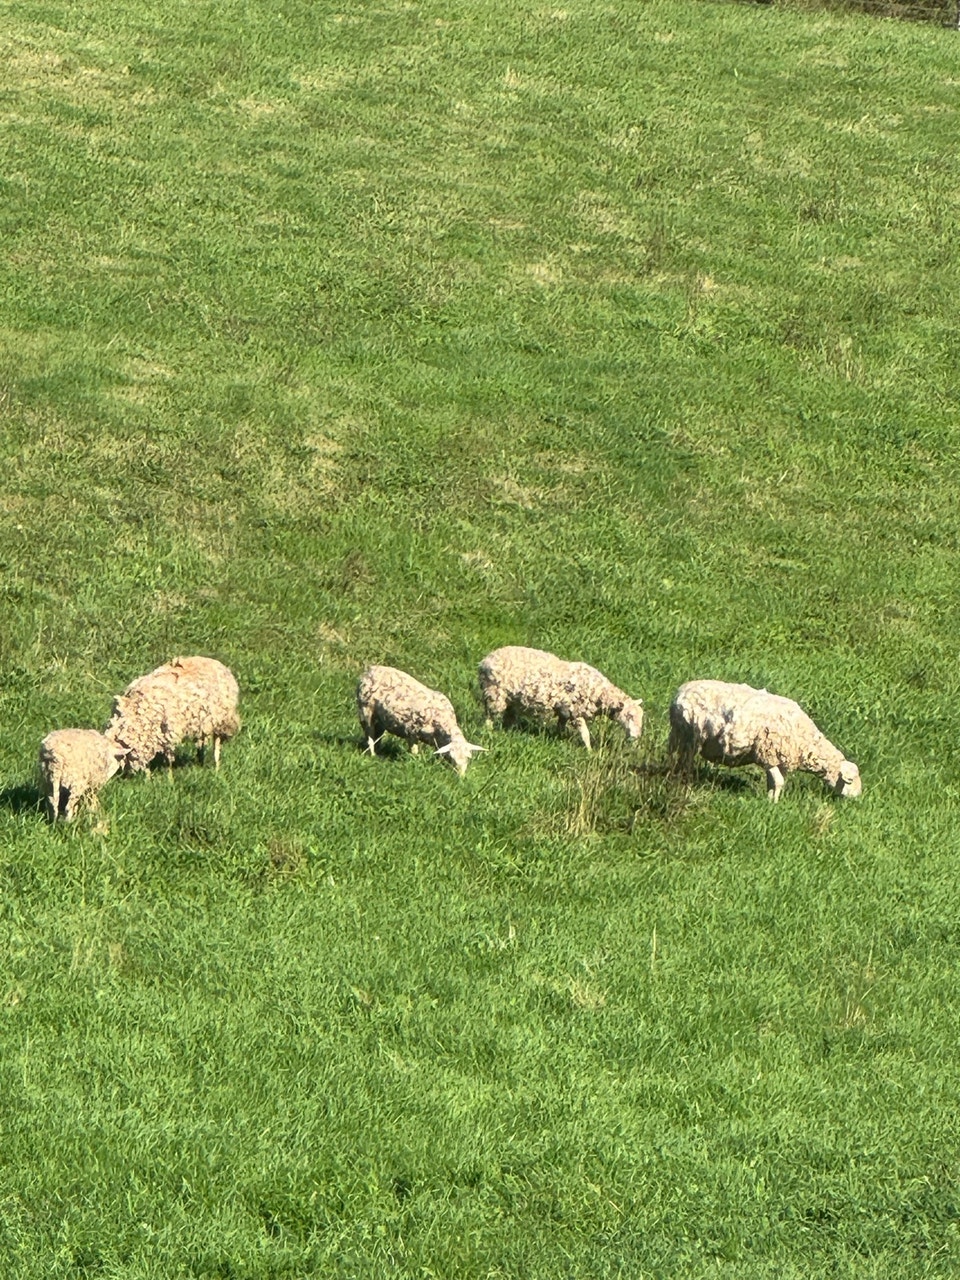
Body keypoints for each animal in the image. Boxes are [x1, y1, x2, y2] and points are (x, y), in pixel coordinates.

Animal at [105, 655, 240, 774]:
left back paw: (217, 768)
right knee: (201, 743)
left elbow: (168, 759)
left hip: (222, 720)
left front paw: (169, 779)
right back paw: (200, 761)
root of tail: (216, 663)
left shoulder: (169, 732)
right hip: (203, 722)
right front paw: (148, 778)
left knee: (217, 743)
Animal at [477, 645, 644, 750]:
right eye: (629, 716)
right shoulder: (576, 711)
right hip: (495, 693)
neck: (599, 692)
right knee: (490, 716)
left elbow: (561, 726)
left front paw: (559, 739)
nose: (636, 737)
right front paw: (589, 751)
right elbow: (585, 734)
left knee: (508, 716)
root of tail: (485, 660)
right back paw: (488, 733)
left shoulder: (565, 710)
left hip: (510, 698)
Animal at [668, 679, 862, 802]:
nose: (857, 798)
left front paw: (769, 799)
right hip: (688, 737)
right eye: (850, 781)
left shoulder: (778, 760)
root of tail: (680, 692)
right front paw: (773, 802)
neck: (805, 741)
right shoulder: (768, 755)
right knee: (685, 762)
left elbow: (774, 782)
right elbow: (779, 782)